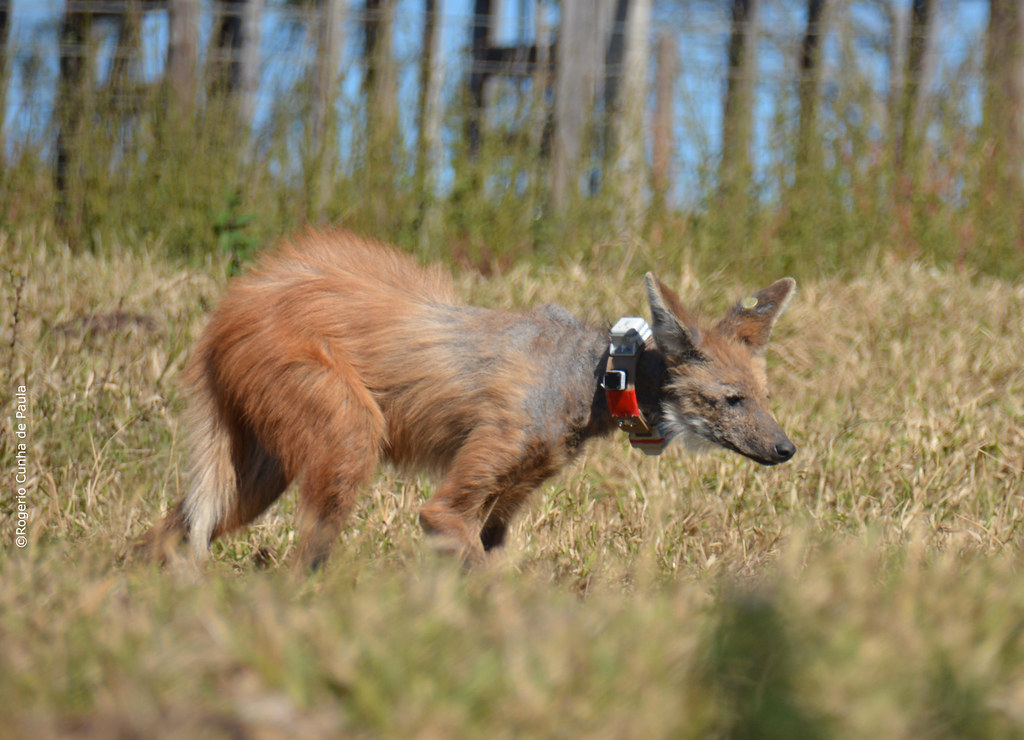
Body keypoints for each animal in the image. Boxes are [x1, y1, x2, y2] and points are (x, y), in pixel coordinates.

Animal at [142, 230, 798, 569]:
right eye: (731, 400)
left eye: (762, 397)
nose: (787, 449)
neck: (595, 376)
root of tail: (236, 303)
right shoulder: (450, 506)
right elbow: (483, 578)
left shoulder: (503, 506)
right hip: (348, 443)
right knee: (301, 559)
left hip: (256, 481)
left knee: (163, 535)